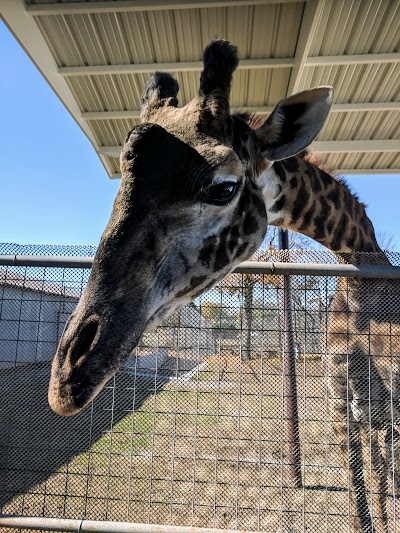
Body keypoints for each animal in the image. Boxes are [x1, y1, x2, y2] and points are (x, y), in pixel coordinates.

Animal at [47, 38, 396, 532]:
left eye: (223, 187)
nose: (67, 378)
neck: (360, 264)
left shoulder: (377, 406)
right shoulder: (341, 405)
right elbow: (361, 496)